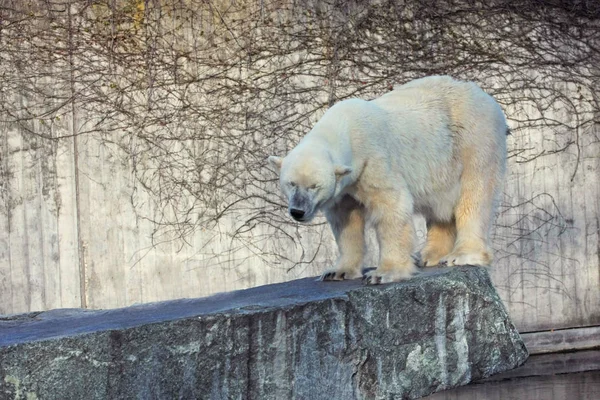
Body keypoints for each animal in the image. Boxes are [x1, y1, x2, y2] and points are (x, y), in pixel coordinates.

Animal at [268, 76, 506, 284]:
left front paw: (382, 274)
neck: (345, 127)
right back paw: (427, 255)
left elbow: (392, 207)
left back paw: (461, 255)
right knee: (439, 207)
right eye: (291, 183)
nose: (297, 211)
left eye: (314, 186)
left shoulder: (374, 161)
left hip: (473, 141)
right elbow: (345, 220)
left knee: (474, 195)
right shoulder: (347, 186)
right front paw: (338, 272)